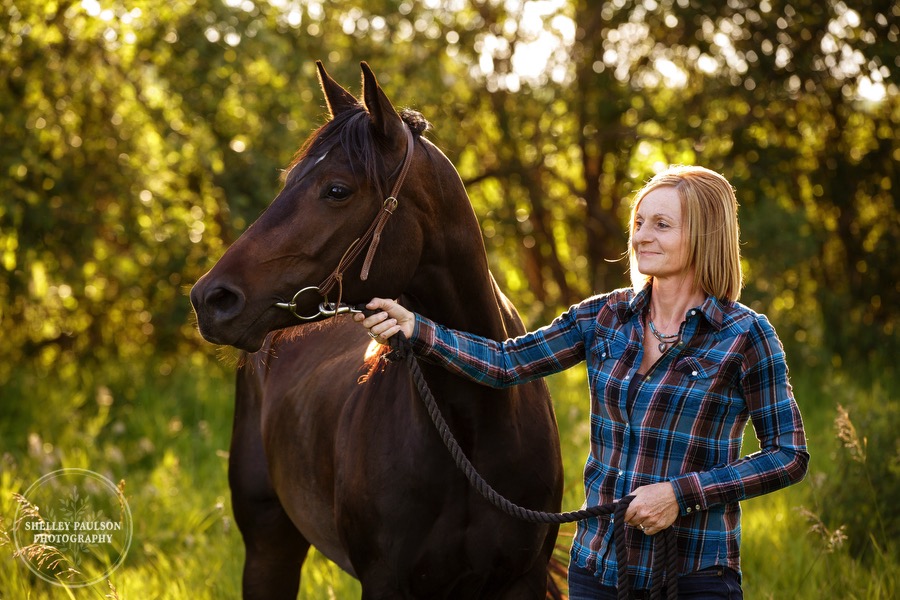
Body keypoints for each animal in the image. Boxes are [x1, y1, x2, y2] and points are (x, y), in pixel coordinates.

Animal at [190, 62, 564, 600]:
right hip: (268, 548)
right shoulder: (386, 581)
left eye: (337, 189)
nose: (211, 299)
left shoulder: (521, 581)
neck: (478, 421)